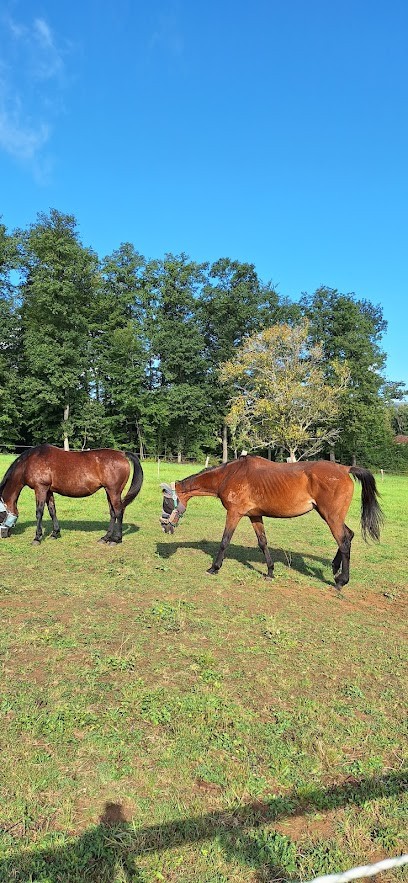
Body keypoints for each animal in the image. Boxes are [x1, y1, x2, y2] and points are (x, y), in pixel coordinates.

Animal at [0, 444, 143, 545]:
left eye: (1, 515)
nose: (3, 535)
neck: (30, 461)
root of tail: (122, 454)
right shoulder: (48, 490)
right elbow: (52, 510)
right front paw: (55, 533)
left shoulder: (40, 488)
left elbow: (39, 512)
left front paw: (37, 538)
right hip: (109, 491)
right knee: (113, 512)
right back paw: (105, 538)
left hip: (114, 491)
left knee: (119, 511)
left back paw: (116, 539)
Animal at [159, 455, 383, 588]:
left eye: (166, 503)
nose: (164, 526)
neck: (229, 475)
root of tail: (345, 469)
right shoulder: (255, 516)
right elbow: (263, 543)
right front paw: (269, 572)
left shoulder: (234, 514)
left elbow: (224, 541)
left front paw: (214, 568)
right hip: (330, 515)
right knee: (349, 535)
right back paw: (335, 568)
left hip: (331, 517)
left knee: (344, 541)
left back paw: (341, 581)